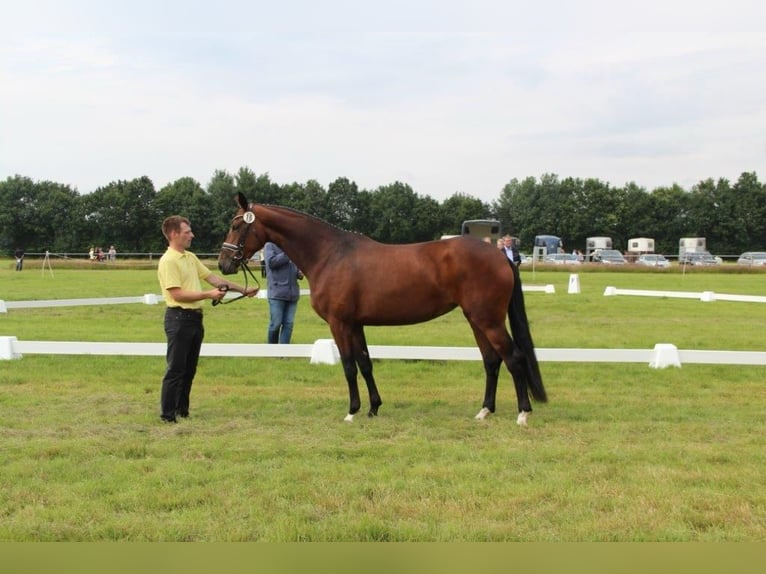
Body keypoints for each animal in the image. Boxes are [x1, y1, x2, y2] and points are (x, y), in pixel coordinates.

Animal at [219, 194, 548, 428]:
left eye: (236, 225)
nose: (224, 263)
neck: (330, 254)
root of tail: (499, 255)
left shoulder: (339, 323)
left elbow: (349, 366)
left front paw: (351, 412)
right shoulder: (356, 324)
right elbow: (365, 364)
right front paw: (373, 408)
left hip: (487, 320)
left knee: (514, 358)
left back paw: (522, 414)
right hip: (476, 320)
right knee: (492, 361)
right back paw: (484, 411)